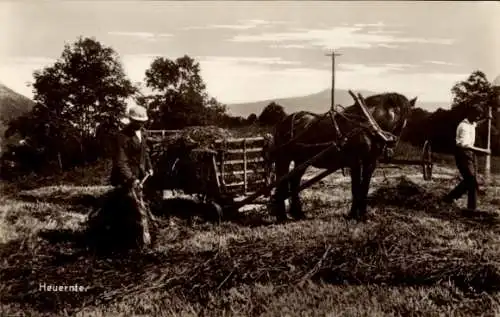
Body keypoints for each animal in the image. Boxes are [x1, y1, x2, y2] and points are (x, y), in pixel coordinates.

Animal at [270, 90, 418, 220]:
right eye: (396, 115)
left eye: (405, 120)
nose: (391, 142)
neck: (367, 127)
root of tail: (284, 121)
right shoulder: (355, 162)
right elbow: (355, 188)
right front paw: (353, 214)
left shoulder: (370, 162)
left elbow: (365, 187)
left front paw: (363, 214)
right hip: (284, 158)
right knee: (282, 183)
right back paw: (282, 215)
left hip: (302, 160)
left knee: (294, 181)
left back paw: (298, 213)